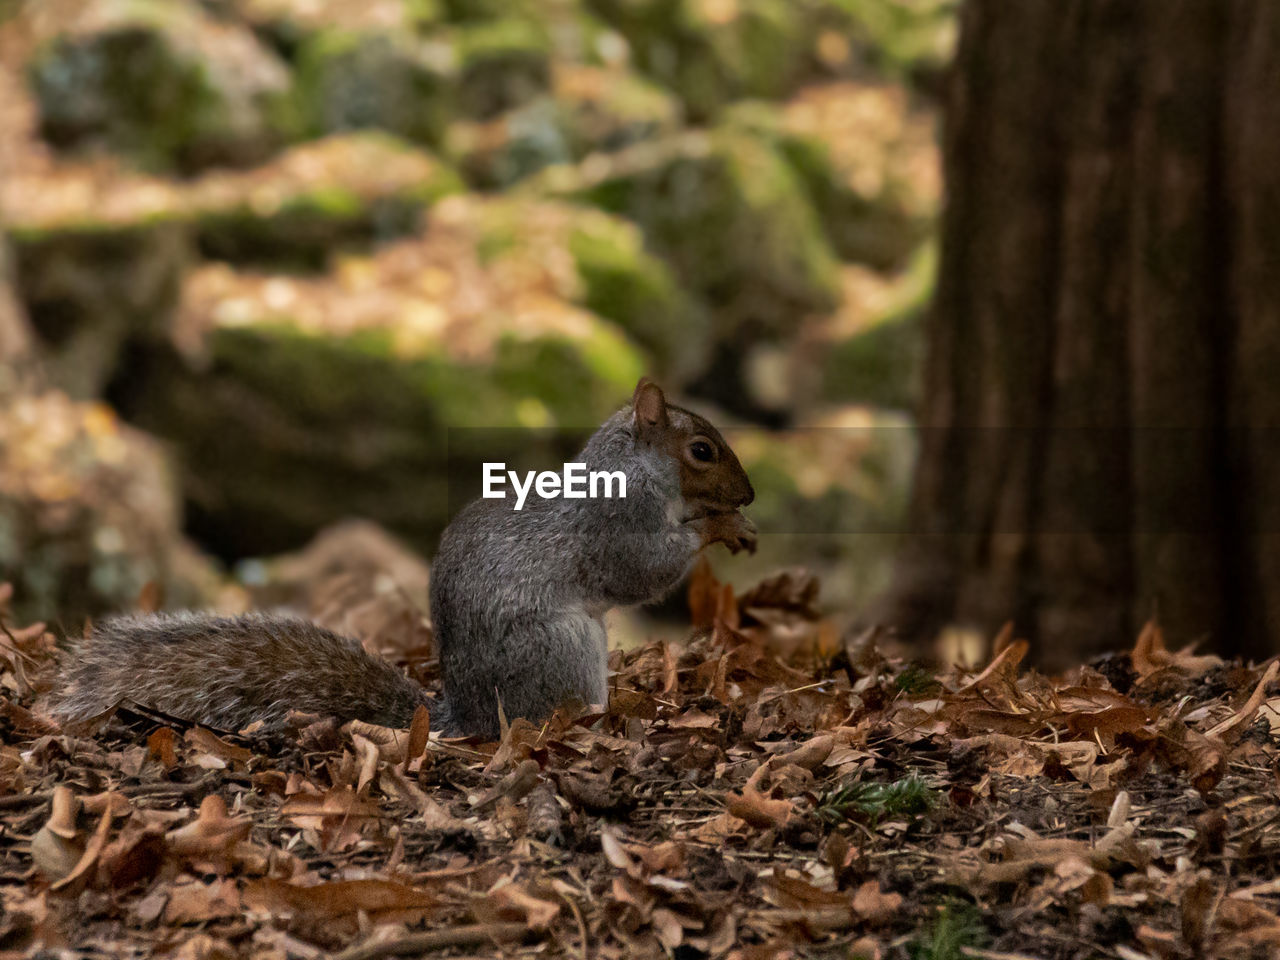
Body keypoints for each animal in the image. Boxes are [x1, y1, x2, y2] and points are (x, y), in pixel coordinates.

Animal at [52, 378, 757, 742]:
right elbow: (647, 568)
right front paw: (720, 526)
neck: (632, 468)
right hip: (565, 649)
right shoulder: (618, 524)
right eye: (701, 450)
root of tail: (467, 717)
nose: (749, 495)